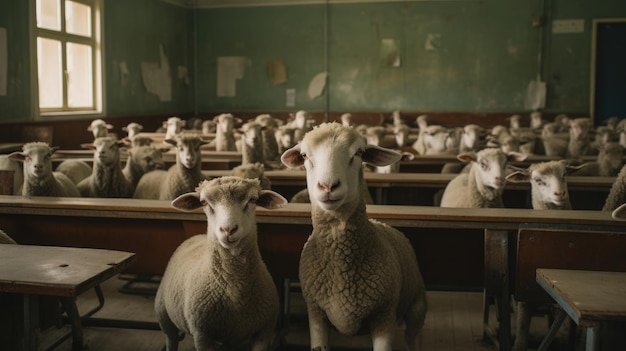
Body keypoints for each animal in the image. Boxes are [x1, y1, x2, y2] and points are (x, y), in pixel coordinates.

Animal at [156, 177, 286, 350]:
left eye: (252, 199)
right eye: (204, 202)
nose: (228, 230)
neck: (236, 291)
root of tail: (197, 236)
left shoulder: (264, 332)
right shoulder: (202, 335)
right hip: (163, 314)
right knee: (171, 338)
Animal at [280, 123, 426, 351]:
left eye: (358, 153)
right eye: (304, 156)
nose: (328, 186)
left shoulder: (384, 316)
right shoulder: (316, 314)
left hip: (417, 308)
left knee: (414, 336)